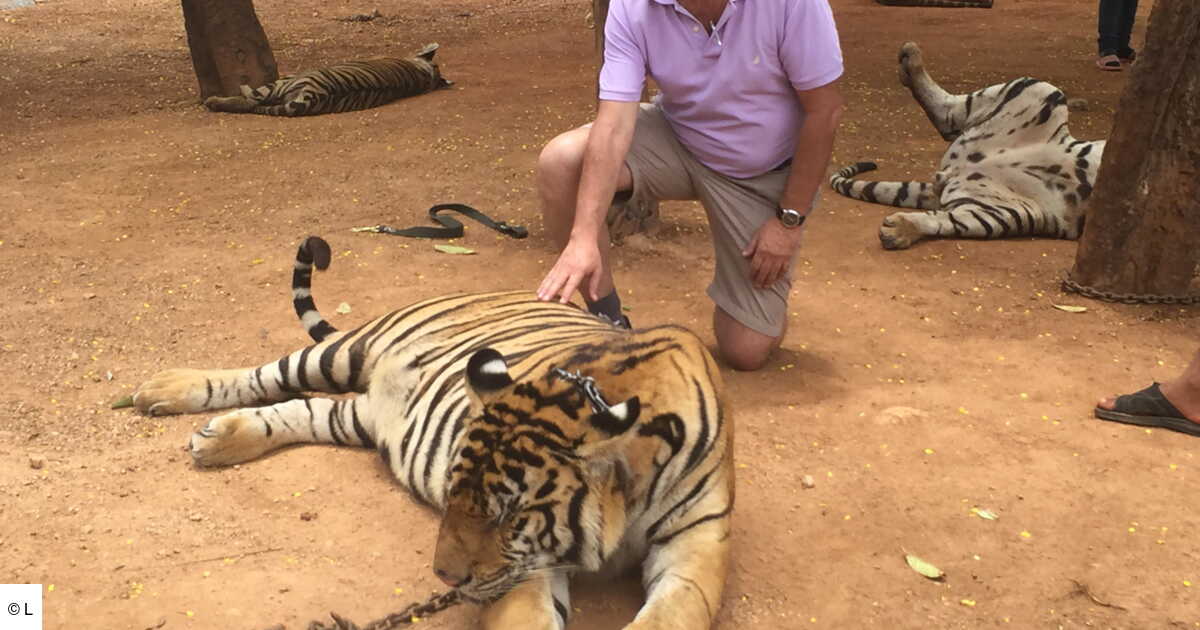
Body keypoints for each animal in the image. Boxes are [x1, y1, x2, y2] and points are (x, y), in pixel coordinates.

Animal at [131, 236, 733, 630]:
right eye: (453, 496)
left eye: (506, 517)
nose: (445, 580)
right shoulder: (525, 568)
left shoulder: (696, 545)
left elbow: (674, 614)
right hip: (345, 352)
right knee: (264, 375)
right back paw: (165, 390)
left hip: (360, 418)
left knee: (301, 411)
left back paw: (217, 440)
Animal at [830, 41, 1104, 250]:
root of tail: (953, 172)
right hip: (1039, 91)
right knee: (950, 110)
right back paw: (911, 57)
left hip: (1000, 211)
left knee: (945, 218)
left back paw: (897, 230)